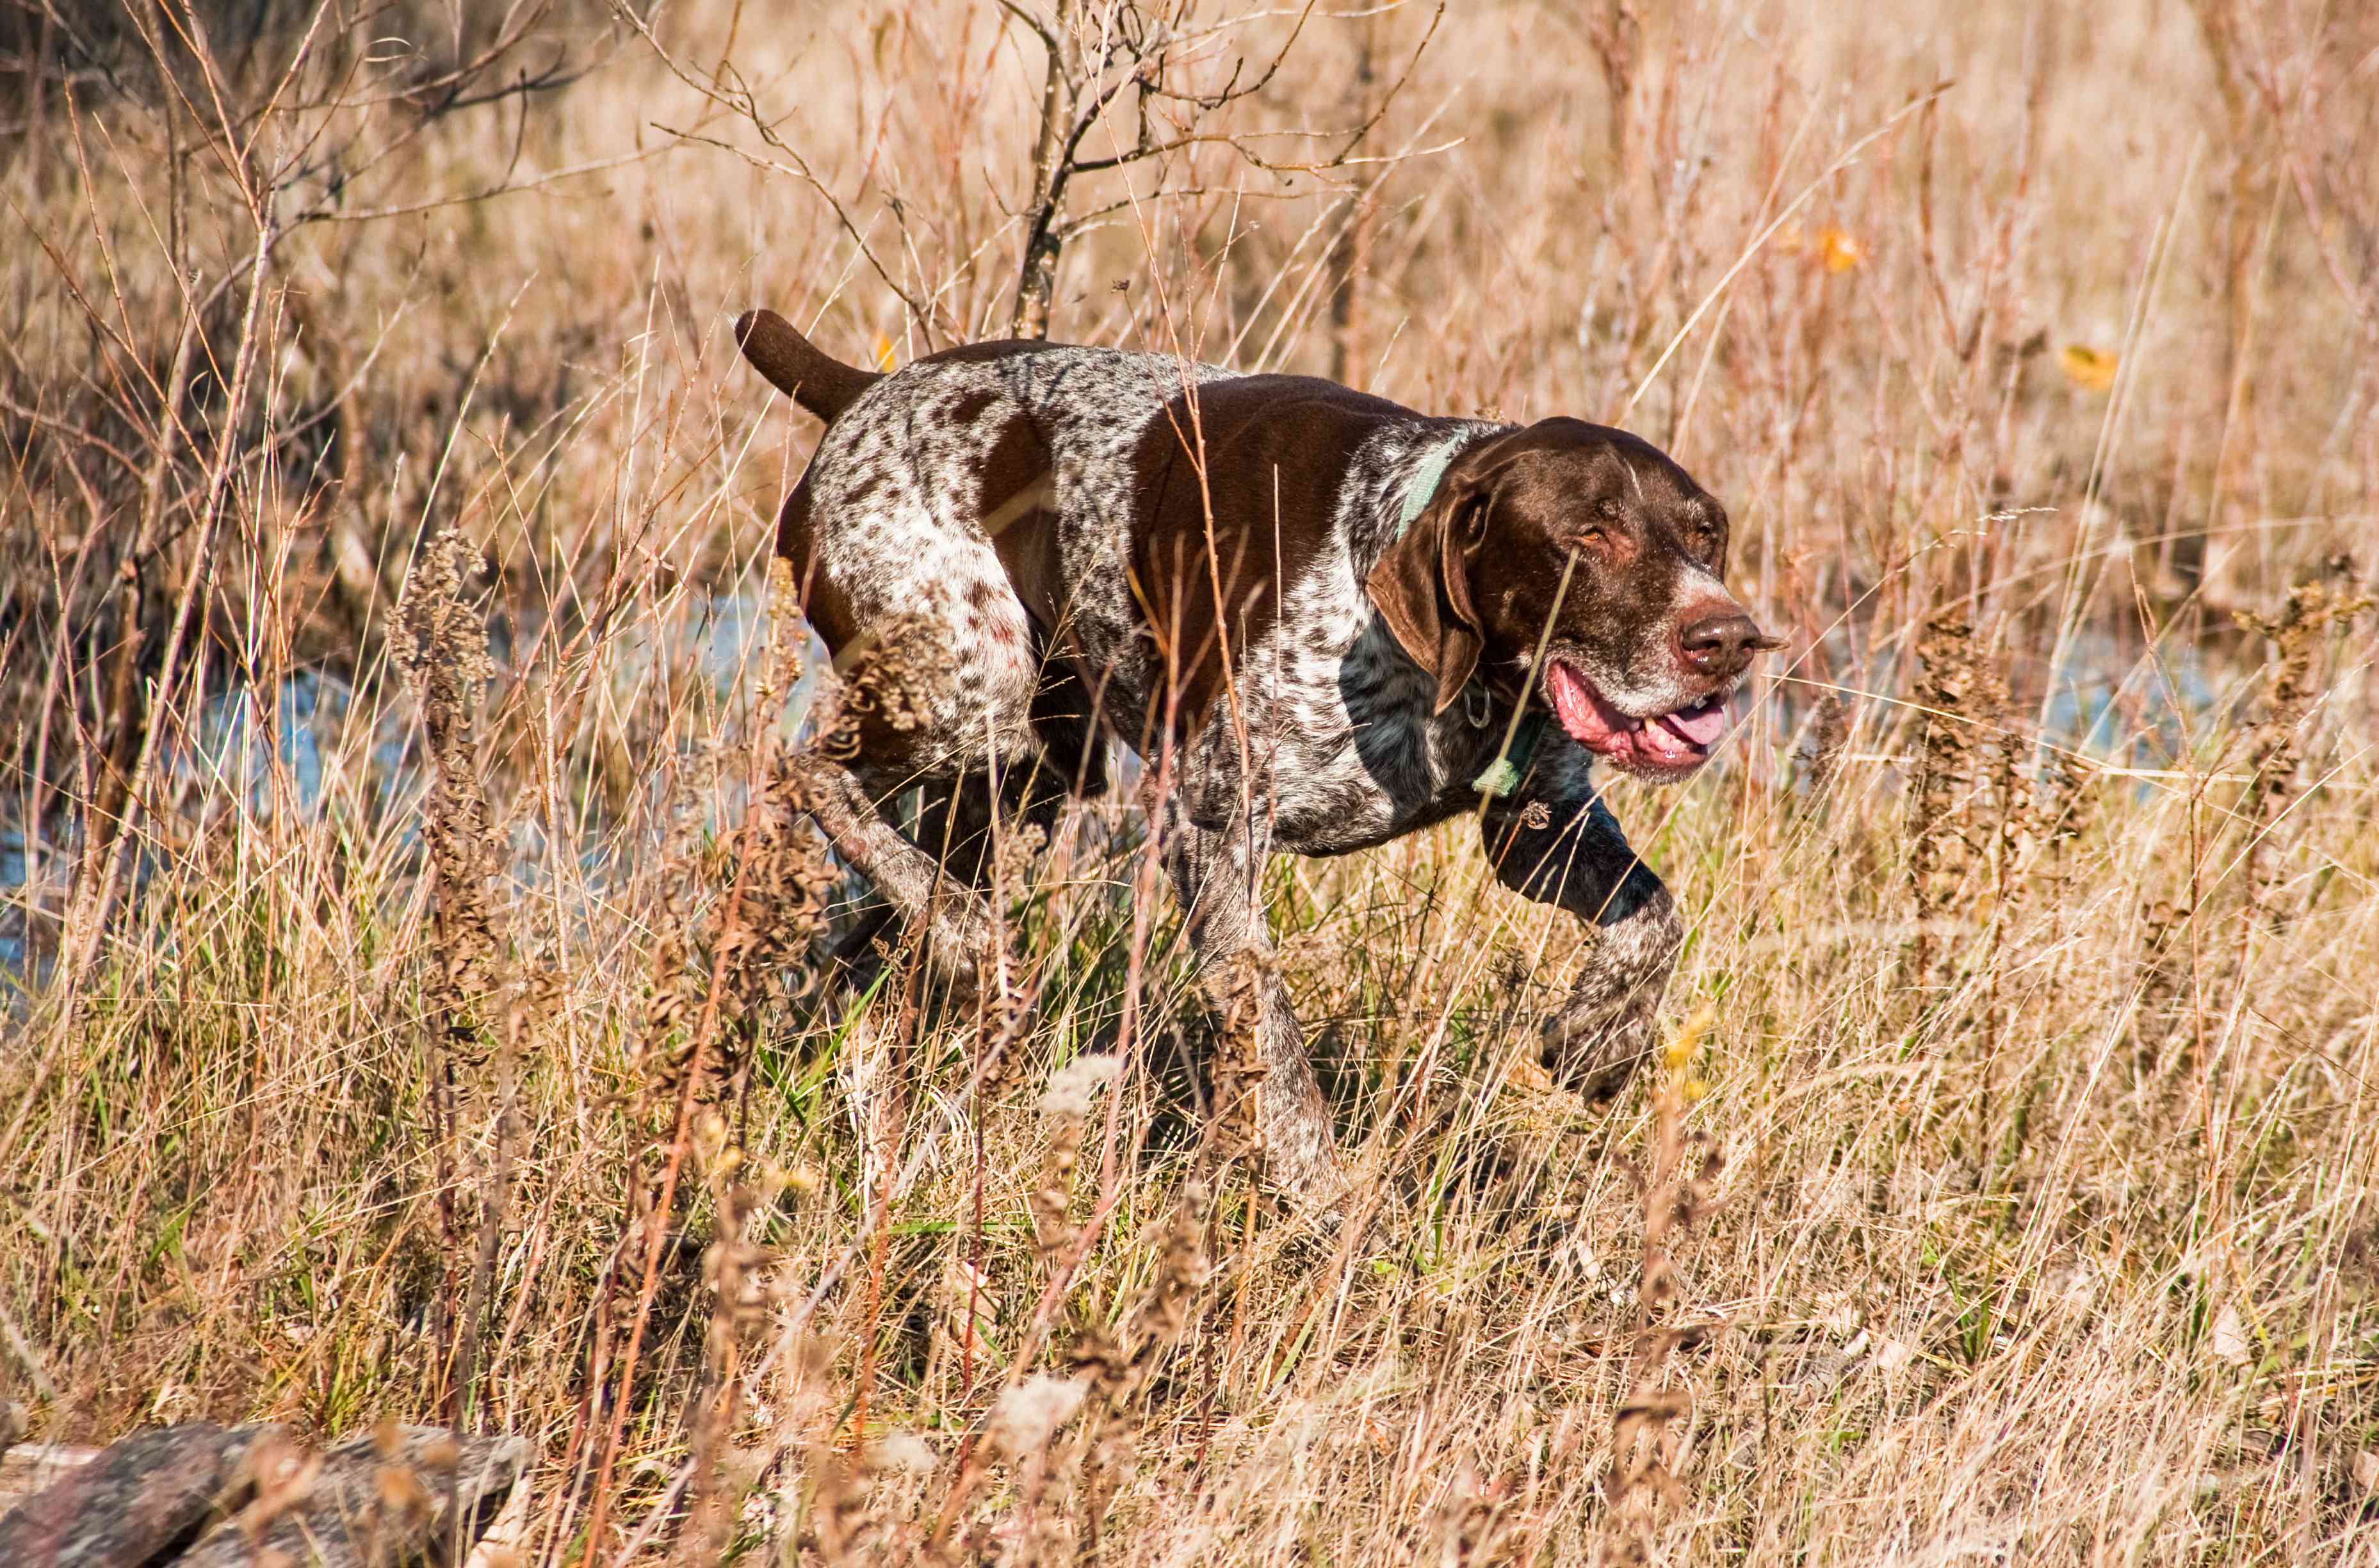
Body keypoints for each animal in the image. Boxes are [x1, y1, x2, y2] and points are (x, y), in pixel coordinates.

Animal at [733, 316, 1779, 1204]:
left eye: (1704, 532)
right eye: (1587, 537)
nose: (1727, 640)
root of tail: (867, 388)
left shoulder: (1538, 826)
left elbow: (1654, 919)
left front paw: (1602, 1036)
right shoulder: (1212, 826)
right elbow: (1267, 1023)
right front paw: (1317, 1189)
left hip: (1027, 774)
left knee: (881, 932)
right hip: (970, 700)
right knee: (812, 770)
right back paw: (964, 940)